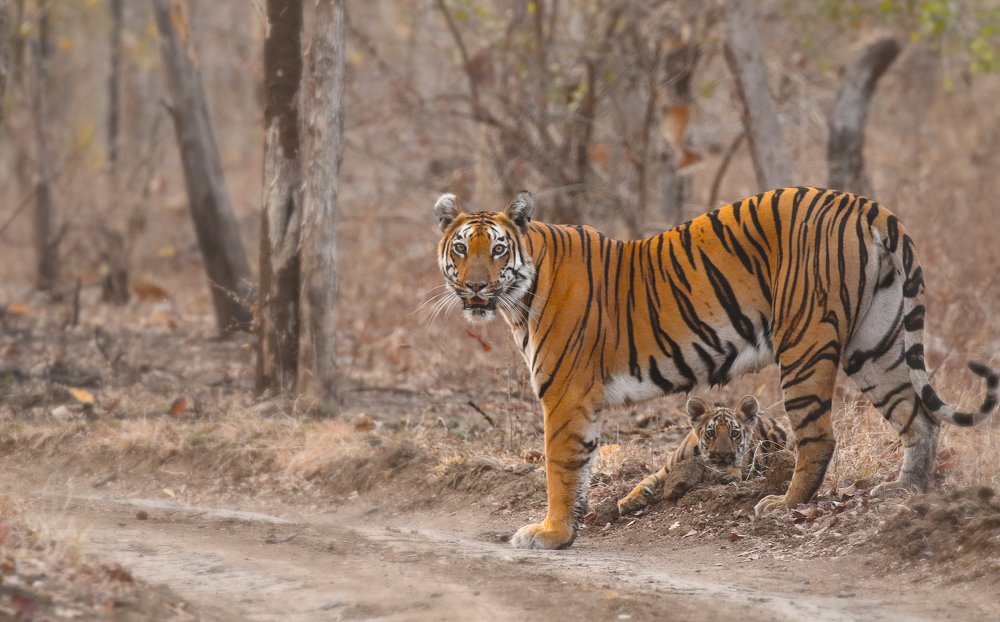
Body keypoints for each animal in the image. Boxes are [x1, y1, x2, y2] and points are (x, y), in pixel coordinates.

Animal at [617, 395, 790, 516]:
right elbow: (644, 481)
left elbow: (731, 472)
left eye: (734, 433)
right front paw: (627, 501)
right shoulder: (666, 470)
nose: (723, 454)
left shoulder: (735, 466)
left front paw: (724, 475)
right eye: (711, 433)